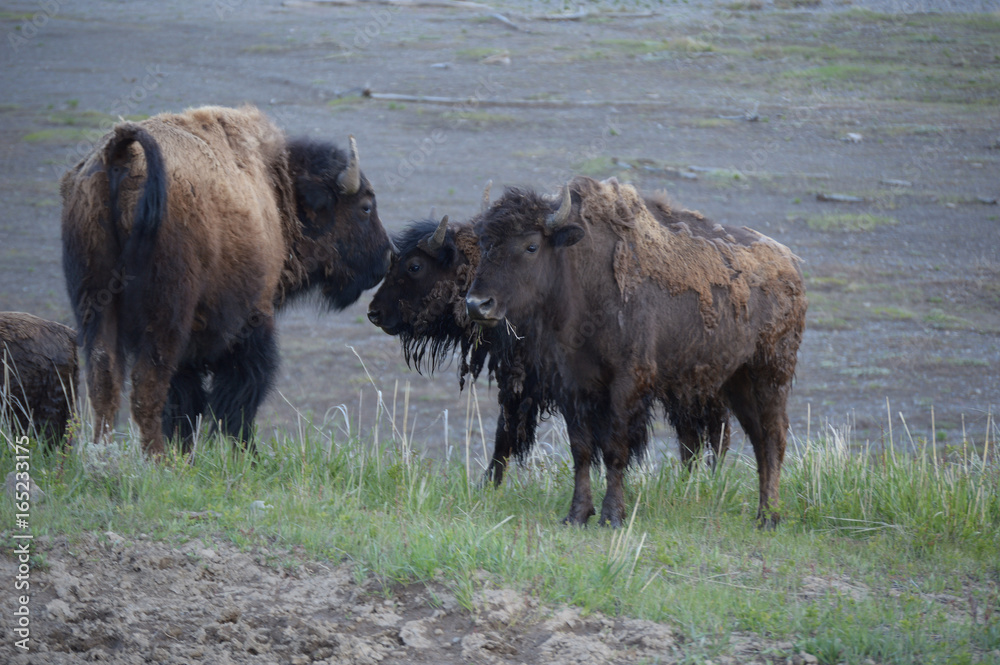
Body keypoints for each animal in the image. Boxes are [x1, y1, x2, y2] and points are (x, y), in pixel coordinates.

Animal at [60, 105, 392, 456]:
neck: (276, 188)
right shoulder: (252, 322)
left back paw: (102, 456)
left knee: (104, 383)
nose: (387, 256)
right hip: (166, 314)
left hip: (94, 306)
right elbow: (239, 395)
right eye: (365, 207)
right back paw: (158, 459)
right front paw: (246, 454)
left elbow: (188, 403)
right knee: (147, 386)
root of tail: (122, 155)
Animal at [470, 178, 812, 528]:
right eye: (484, 243)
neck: (586, 279)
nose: (478, 304)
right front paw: (577, 514)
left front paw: (612, 516)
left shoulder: (627, 384)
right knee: (758, 437)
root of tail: (790, 265)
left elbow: (614, 449)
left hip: (770, 374)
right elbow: (581, 449)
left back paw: (770, 517)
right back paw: (763, 513)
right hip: (736, 380)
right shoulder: (573, 386)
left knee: (773, 436)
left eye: (531, 246)